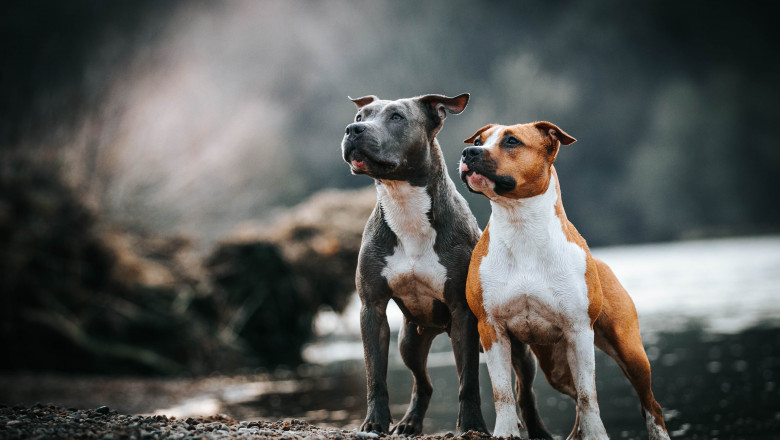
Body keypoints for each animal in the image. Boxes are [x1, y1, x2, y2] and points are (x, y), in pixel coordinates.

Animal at [342, 93, 556, 436]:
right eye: (360, 117)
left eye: (397, 117)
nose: (352, 130)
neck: (404, 206)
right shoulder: (371, 308)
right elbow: (375, 374)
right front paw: (374, 421)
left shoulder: (462, 313)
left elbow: (468, 379)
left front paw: (472, 424)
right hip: (410, 341)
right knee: (424, 383)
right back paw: (410, 422)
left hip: (517, 348)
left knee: (525, 391)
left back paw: (537, 429)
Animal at [458, 122, 672, 440]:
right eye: (478, 141)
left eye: (512, 141)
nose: (468, 153)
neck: (520, 226)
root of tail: (600, 262)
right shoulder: (491, 329)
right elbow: (503, 393)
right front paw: (506, 431)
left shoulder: (579, 331)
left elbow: (588, 395)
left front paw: (597, 435)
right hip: (555, 367)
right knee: (572, 397)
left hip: (629, 350)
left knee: (649, 403)